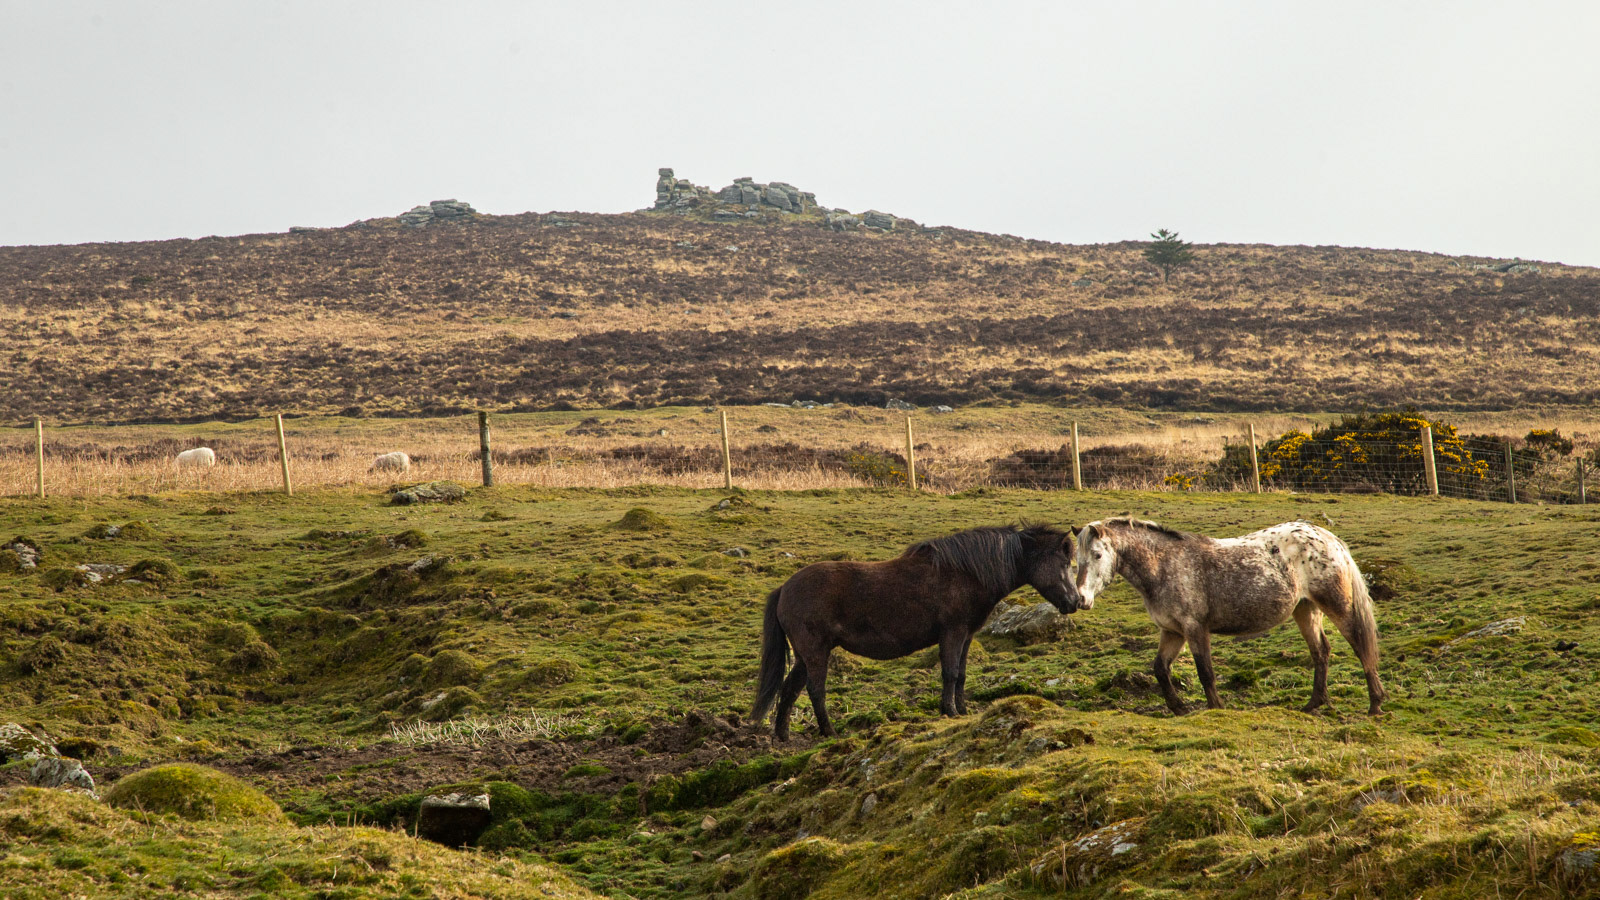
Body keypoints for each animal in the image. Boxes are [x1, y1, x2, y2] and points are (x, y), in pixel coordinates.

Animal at [752, 524, 1079, 741]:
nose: (1076, 602)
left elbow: (961, 675)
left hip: (804, 656)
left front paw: (962, 710)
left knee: (790, 689)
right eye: (1065, 563)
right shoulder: (952, 632)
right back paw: (829, 732)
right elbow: (949, 673)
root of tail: (784, 589)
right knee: (815, 690)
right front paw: (949, 711)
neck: (967, 573)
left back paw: (782, 737)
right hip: (816, 653)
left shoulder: (966, 636)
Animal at [1073, 517, 1386, 716]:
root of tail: (1330, 539)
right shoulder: (1172, 632)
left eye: (1098, 555)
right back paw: (1313, 704)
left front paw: (1216, 708)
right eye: (1077, 559)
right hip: (1305, 609)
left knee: (1360, 645)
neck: (1165, 566)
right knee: (1321, 651)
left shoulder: (1195, 629)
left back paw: (1375, 704)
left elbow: (1205, 672)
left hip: (1336, 605)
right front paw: (1179, 708)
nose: (1081, 599)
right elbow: (1160, 669)